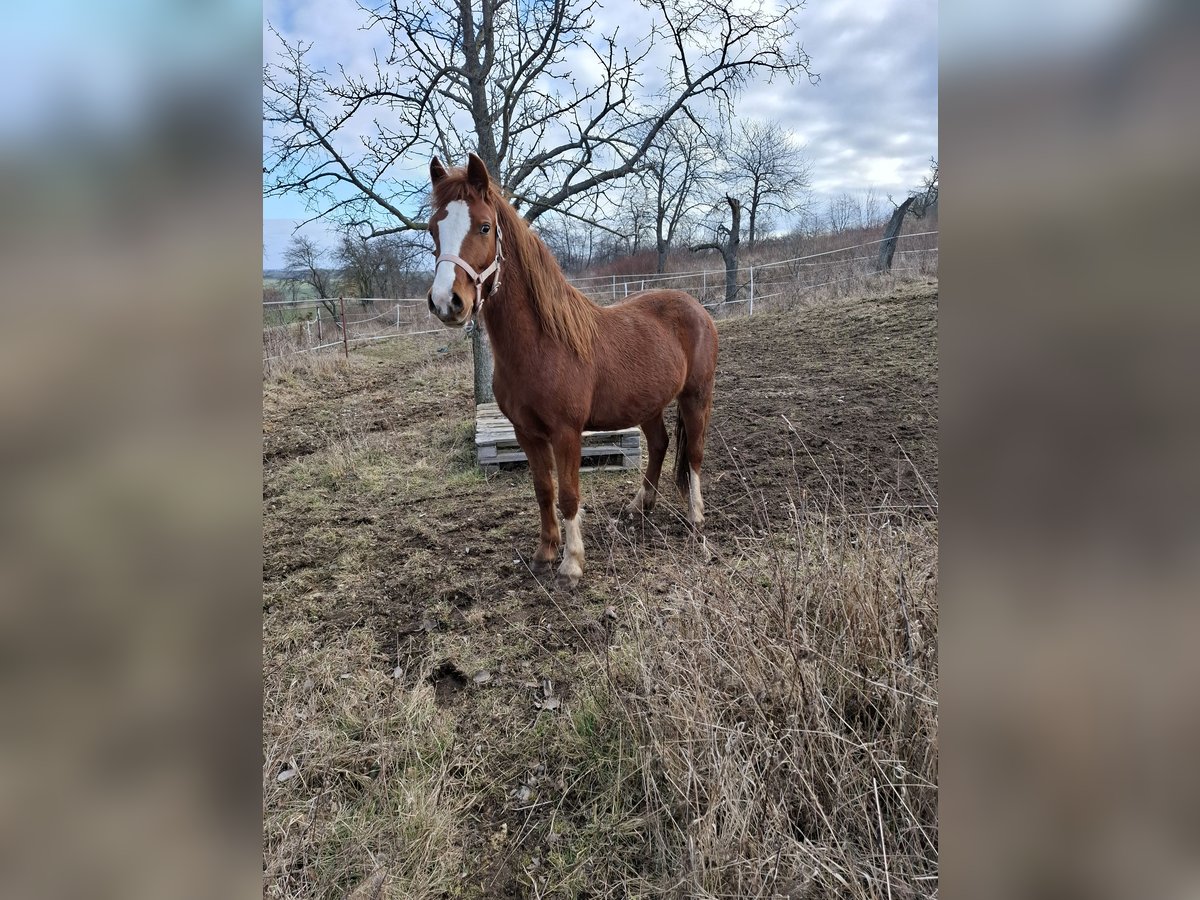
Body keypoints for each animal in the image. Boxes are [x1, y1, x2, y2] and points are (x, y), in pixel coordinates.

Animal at [427, 154, 715, 592]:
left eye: (484, 226)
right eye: (433, 229)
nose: (447, 302)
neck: (542, 345)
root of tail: (696, 306)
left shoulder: (566, 432)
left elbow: (568, 495)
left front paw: (572, 564)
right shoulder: (526, 432)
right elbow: (543, 490)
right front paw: (545, 553)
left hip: (696, 397)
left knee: (695, 454)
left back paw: (696, 518)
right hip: (648, 405)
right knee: (660, 445)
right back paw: (639, 507)